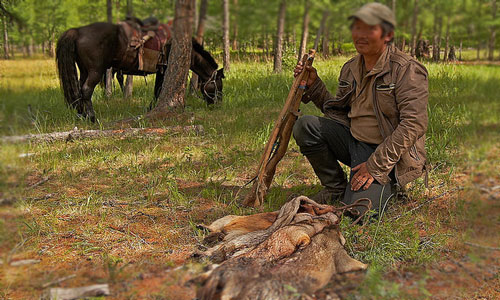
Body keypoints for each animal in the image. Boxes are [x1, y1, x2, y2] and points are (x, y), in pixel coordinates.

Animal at [56, 19, 225, 122]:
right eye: (218, 85)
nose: (217, 103)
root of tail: (77, 31)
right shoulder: (164, 69)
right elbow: (158, 90)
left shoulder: (161, 70)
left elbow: (157, 90)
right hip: (95, 70)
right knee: (86, 90)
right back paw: (91, 117)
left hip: (84, 70)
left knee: (78, 90)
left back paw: (81, 115)